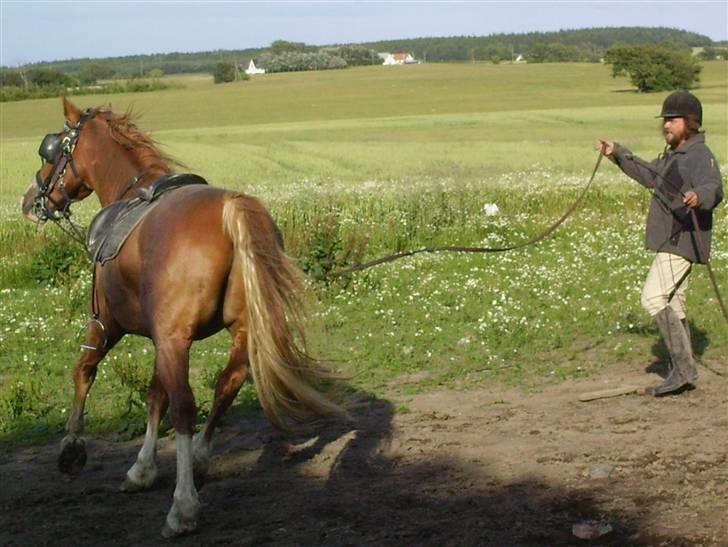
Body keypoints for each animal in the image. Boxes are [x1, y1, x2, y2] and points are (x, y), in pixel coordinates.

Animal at [19, 98, 344, 540]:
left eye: (50, 153)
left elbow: (85, 370)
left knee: (186, 408)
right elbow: (155, 393)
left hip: (172, 338)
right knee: (226, 385)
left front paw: (72, 446)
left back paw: (183, 506)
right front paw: (142, 467)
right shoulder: (162, 335)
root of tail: (230, 208)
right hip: (237, 331)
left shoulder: (111, 324)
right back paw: (202, 459)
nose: (30, 201)